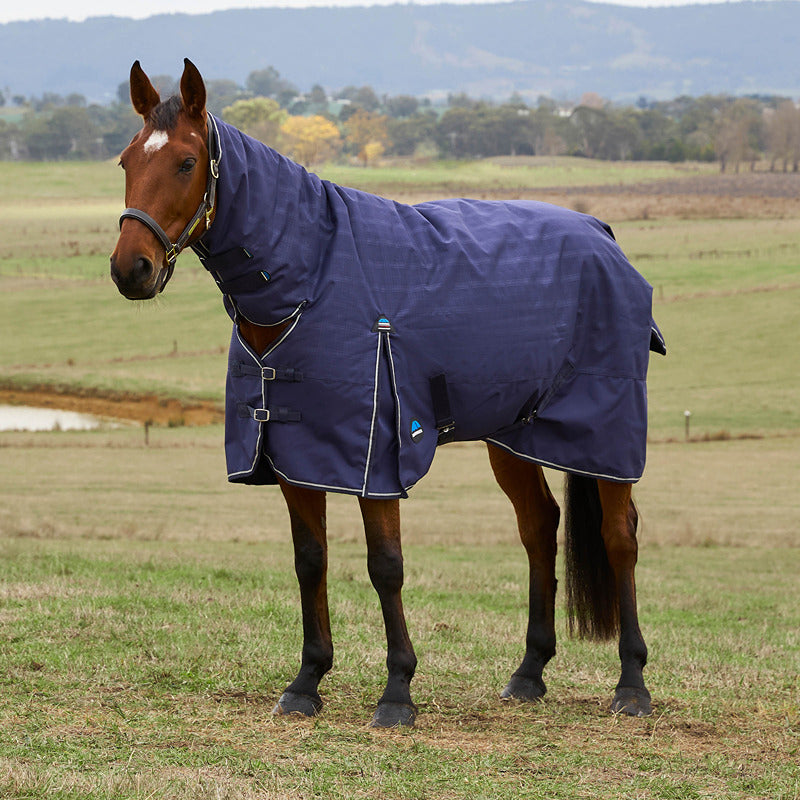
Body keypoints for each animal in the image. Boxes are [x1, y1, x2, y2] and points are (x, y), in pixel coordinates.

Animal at [110, 58, 664, 728]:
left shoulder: (375, 456)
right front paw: (307, 681)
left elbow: (386, 566)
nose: (131, 269)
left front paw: (397, 689)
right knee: (539, 527)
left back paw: (631, 684)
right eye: (125, 160)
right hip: (512, 436)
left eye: (187, 162)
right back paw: (529, 672)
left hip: (605, 434)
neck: (313, 276)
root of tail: (602, 235)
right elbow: (310, 561)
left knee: (619, 536)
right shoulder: (296, 454)